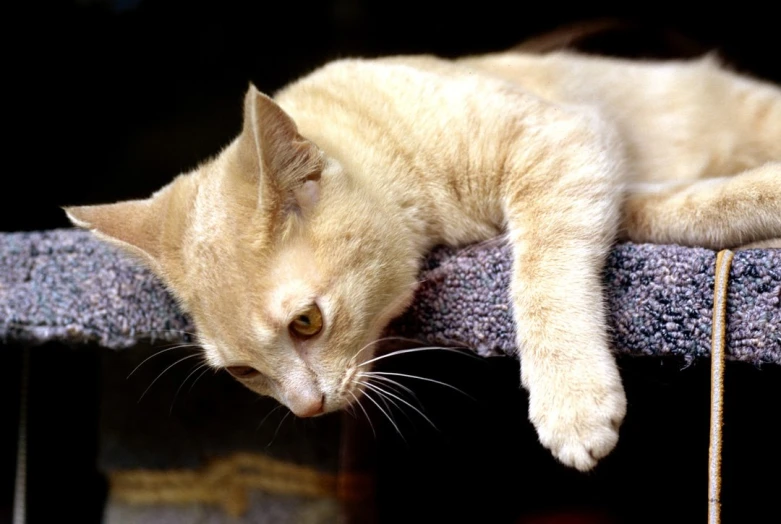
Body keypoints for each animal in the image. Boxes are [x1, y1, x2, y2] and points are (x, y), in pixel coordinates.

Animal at [65, 45, 780, 470]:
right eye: (243, 372)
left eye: (306, 323)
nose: (306, 410)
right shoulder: (609, 174)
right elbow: (688, 205)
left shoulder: (564, 139)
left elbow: (540, 274)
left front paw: (571, 402)